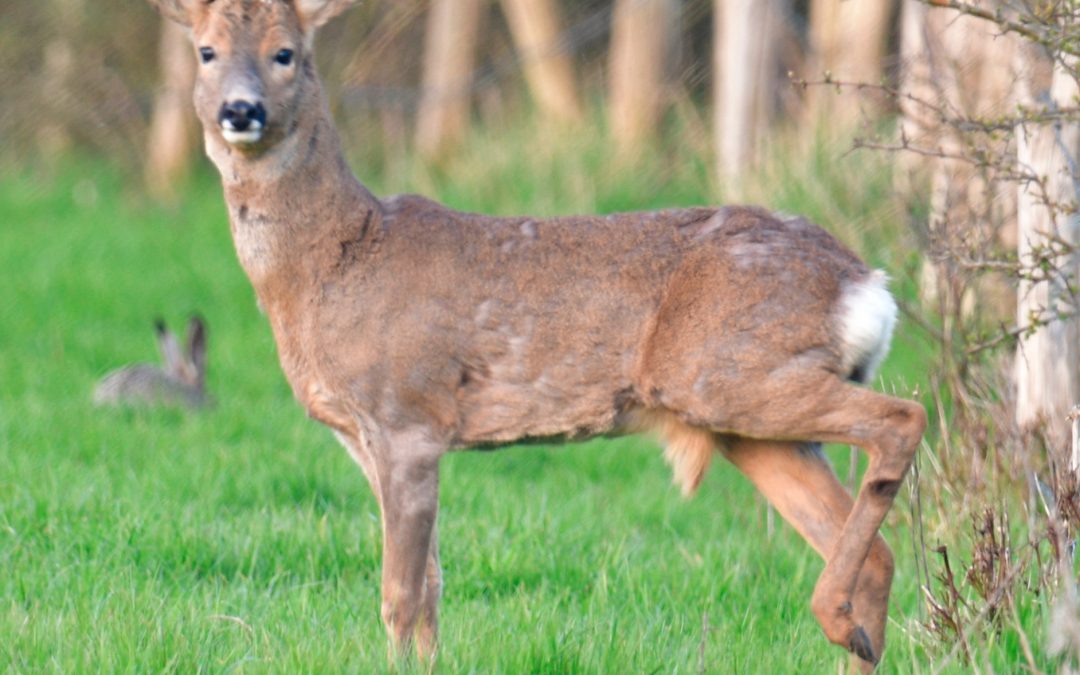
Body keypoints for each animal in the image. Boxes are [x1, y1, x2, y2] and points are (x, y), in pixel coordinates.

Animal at [147, 0, 928, 665]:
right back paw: (852, 630)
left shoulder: (407, 416)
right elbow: (432, 589)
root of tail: (865, 283)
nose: (240, 110)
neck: (333, 262)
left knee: (903, 417)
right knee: (878, 554)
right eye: (207, 49)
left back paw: (833, 615)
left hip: (734, 375)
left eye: (285, 52)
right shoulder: (368, 436)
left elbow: (400, 594)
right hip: (744, 417)